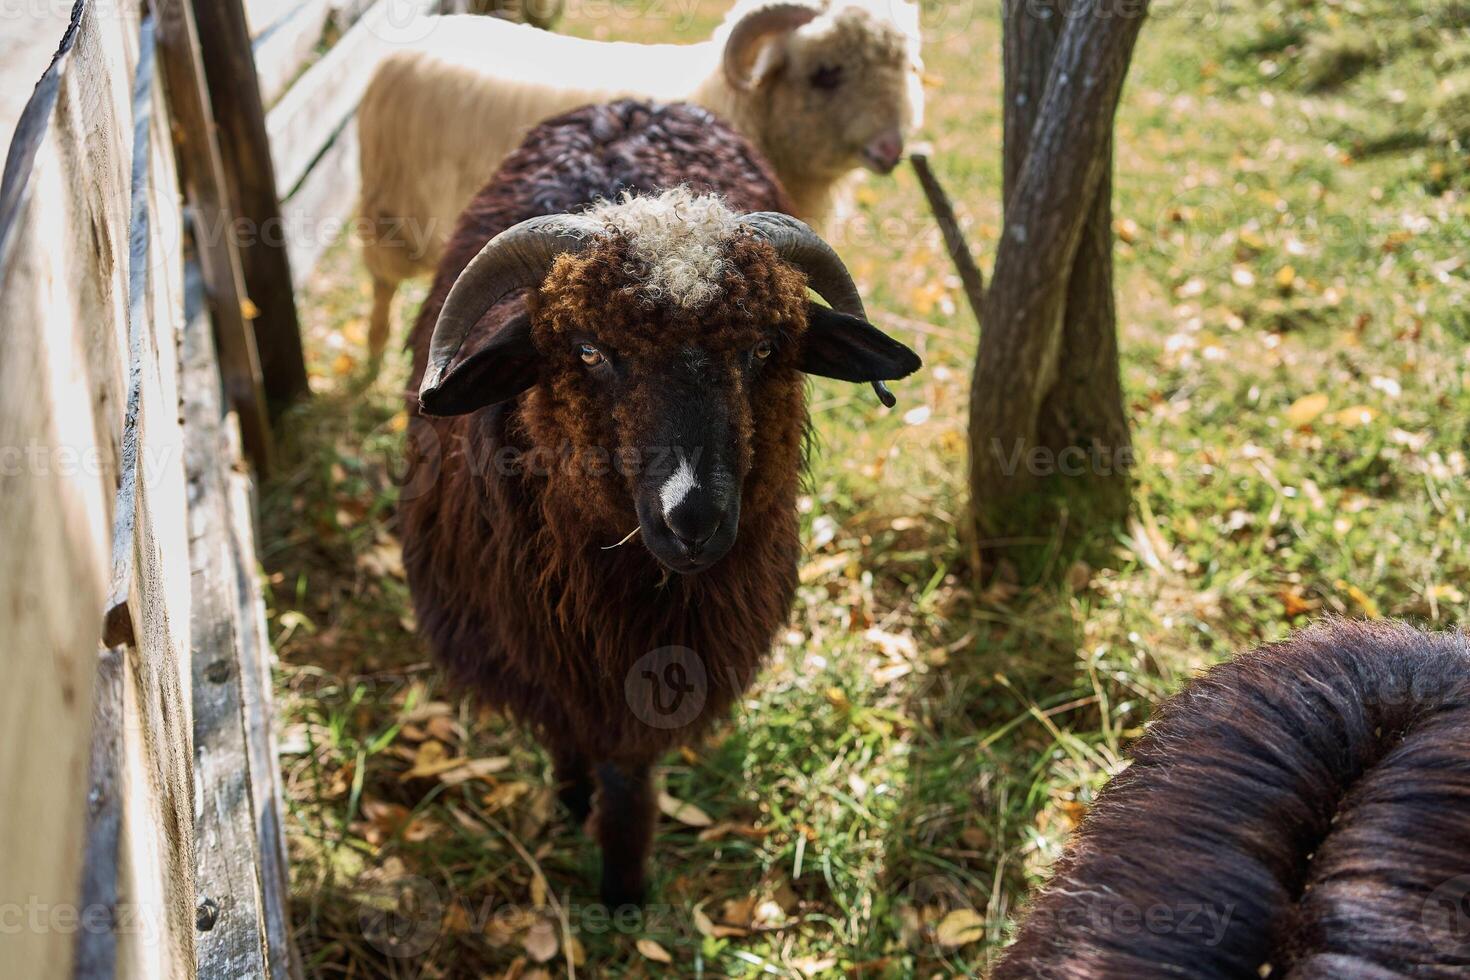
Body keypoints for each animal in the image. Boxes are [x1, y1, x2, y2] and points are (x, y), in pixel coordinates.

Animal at [354, 0, 917, 358]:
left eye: (903, 67)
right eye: (826, 73)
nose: (892, 150)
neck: (728, 97)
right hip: (393, 207)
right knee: (382, 282)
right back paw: (373, 359)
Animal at [399, 99, 917, 905]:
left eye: (765, 348)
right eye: (587, 350)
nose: (694, 519)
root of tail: (634, 106)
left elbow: (629, 772)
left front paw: (623, 886)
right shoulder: (539, 650)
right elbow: (569, 733)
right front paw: (573, 804)